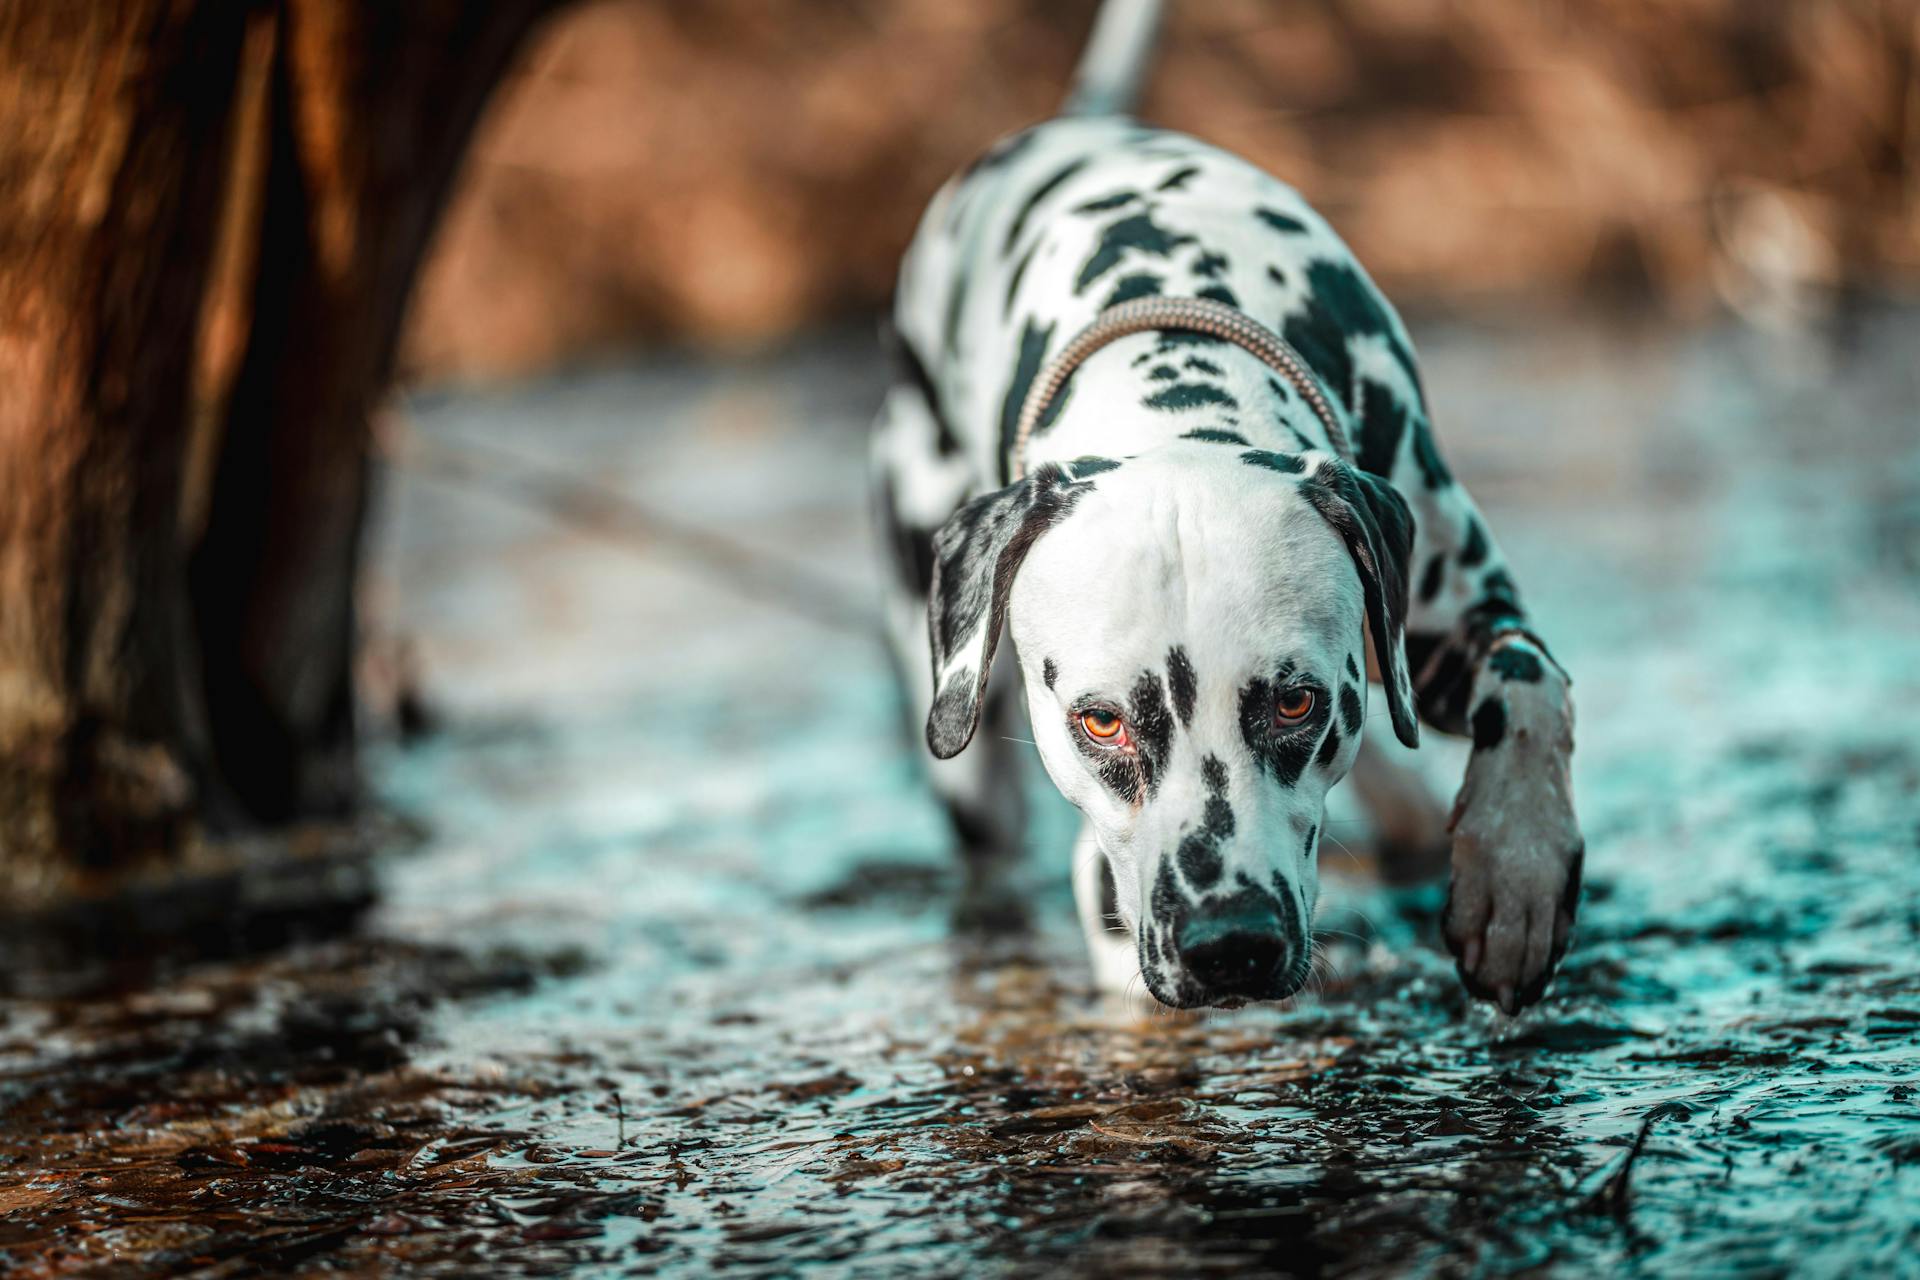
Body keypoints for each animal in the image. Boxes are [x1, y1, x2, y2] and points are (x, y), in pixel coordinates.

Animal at [871, 2, 1574, 1020]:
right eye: (1101, 721)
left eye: (1295, 701)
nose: (1230, 943)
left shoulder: (1448, 623)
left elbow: (1527, 684)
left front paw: (1517, 885)